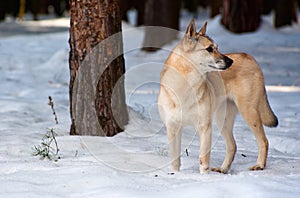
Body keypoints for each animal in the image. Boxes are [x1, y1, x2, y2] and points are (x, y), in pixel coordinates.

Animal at [158, 19, 278, 173]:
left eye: (217, 48)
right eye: (209, 49)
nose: (230, 62)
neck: (186, 86)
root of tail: (250, 57)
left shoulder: (204, 127)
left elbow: (203, 160)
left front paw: (204, 176)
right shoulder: (173, 127)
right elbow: (175, 160)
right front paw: (174, 174)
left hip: (248, 112)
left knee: (263, 141)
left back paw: (259, 165)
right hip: (222, 119)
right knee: (232, 145)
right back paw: (223, 169)